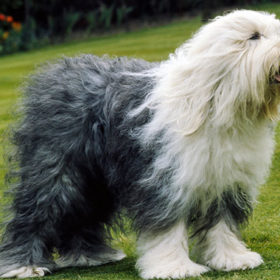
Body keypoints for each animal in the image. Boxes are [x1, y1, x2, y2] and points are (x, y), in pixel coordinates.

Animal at [0, 8, 280, 278]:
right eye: (254, 36)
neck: (218, 104)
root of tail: (59, 70)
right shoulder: (163, 179)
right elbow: (166, 226)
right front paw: (174, 268)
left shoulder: (226, 180)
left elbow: (223, 225)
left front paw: (232, 258)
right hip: (56, 168)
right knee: (36, 211)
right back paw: (24, 265)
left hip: (94, 180)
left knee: (83, 213)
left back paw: (88, 256)